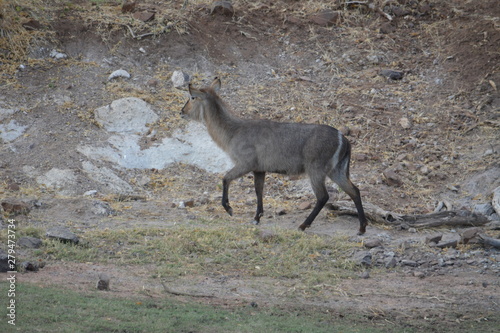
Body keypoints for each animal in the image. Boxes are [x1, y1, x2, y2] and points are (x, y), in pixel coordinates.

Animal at [181, 77, 368, 233]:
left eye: (192, 97)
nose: (181, 111)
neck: (233, 131)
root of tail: (343, 139)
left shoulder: (245, 164)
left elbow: (225, 179)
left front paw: (229, 209)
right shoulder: (259, 169)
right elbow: (258, 191)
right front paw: (257, 218)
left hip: (316, 170)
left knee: (323, 196)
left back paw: (303, 225)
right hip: (337, 170)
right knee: (354, 190)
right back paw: (362, 228)